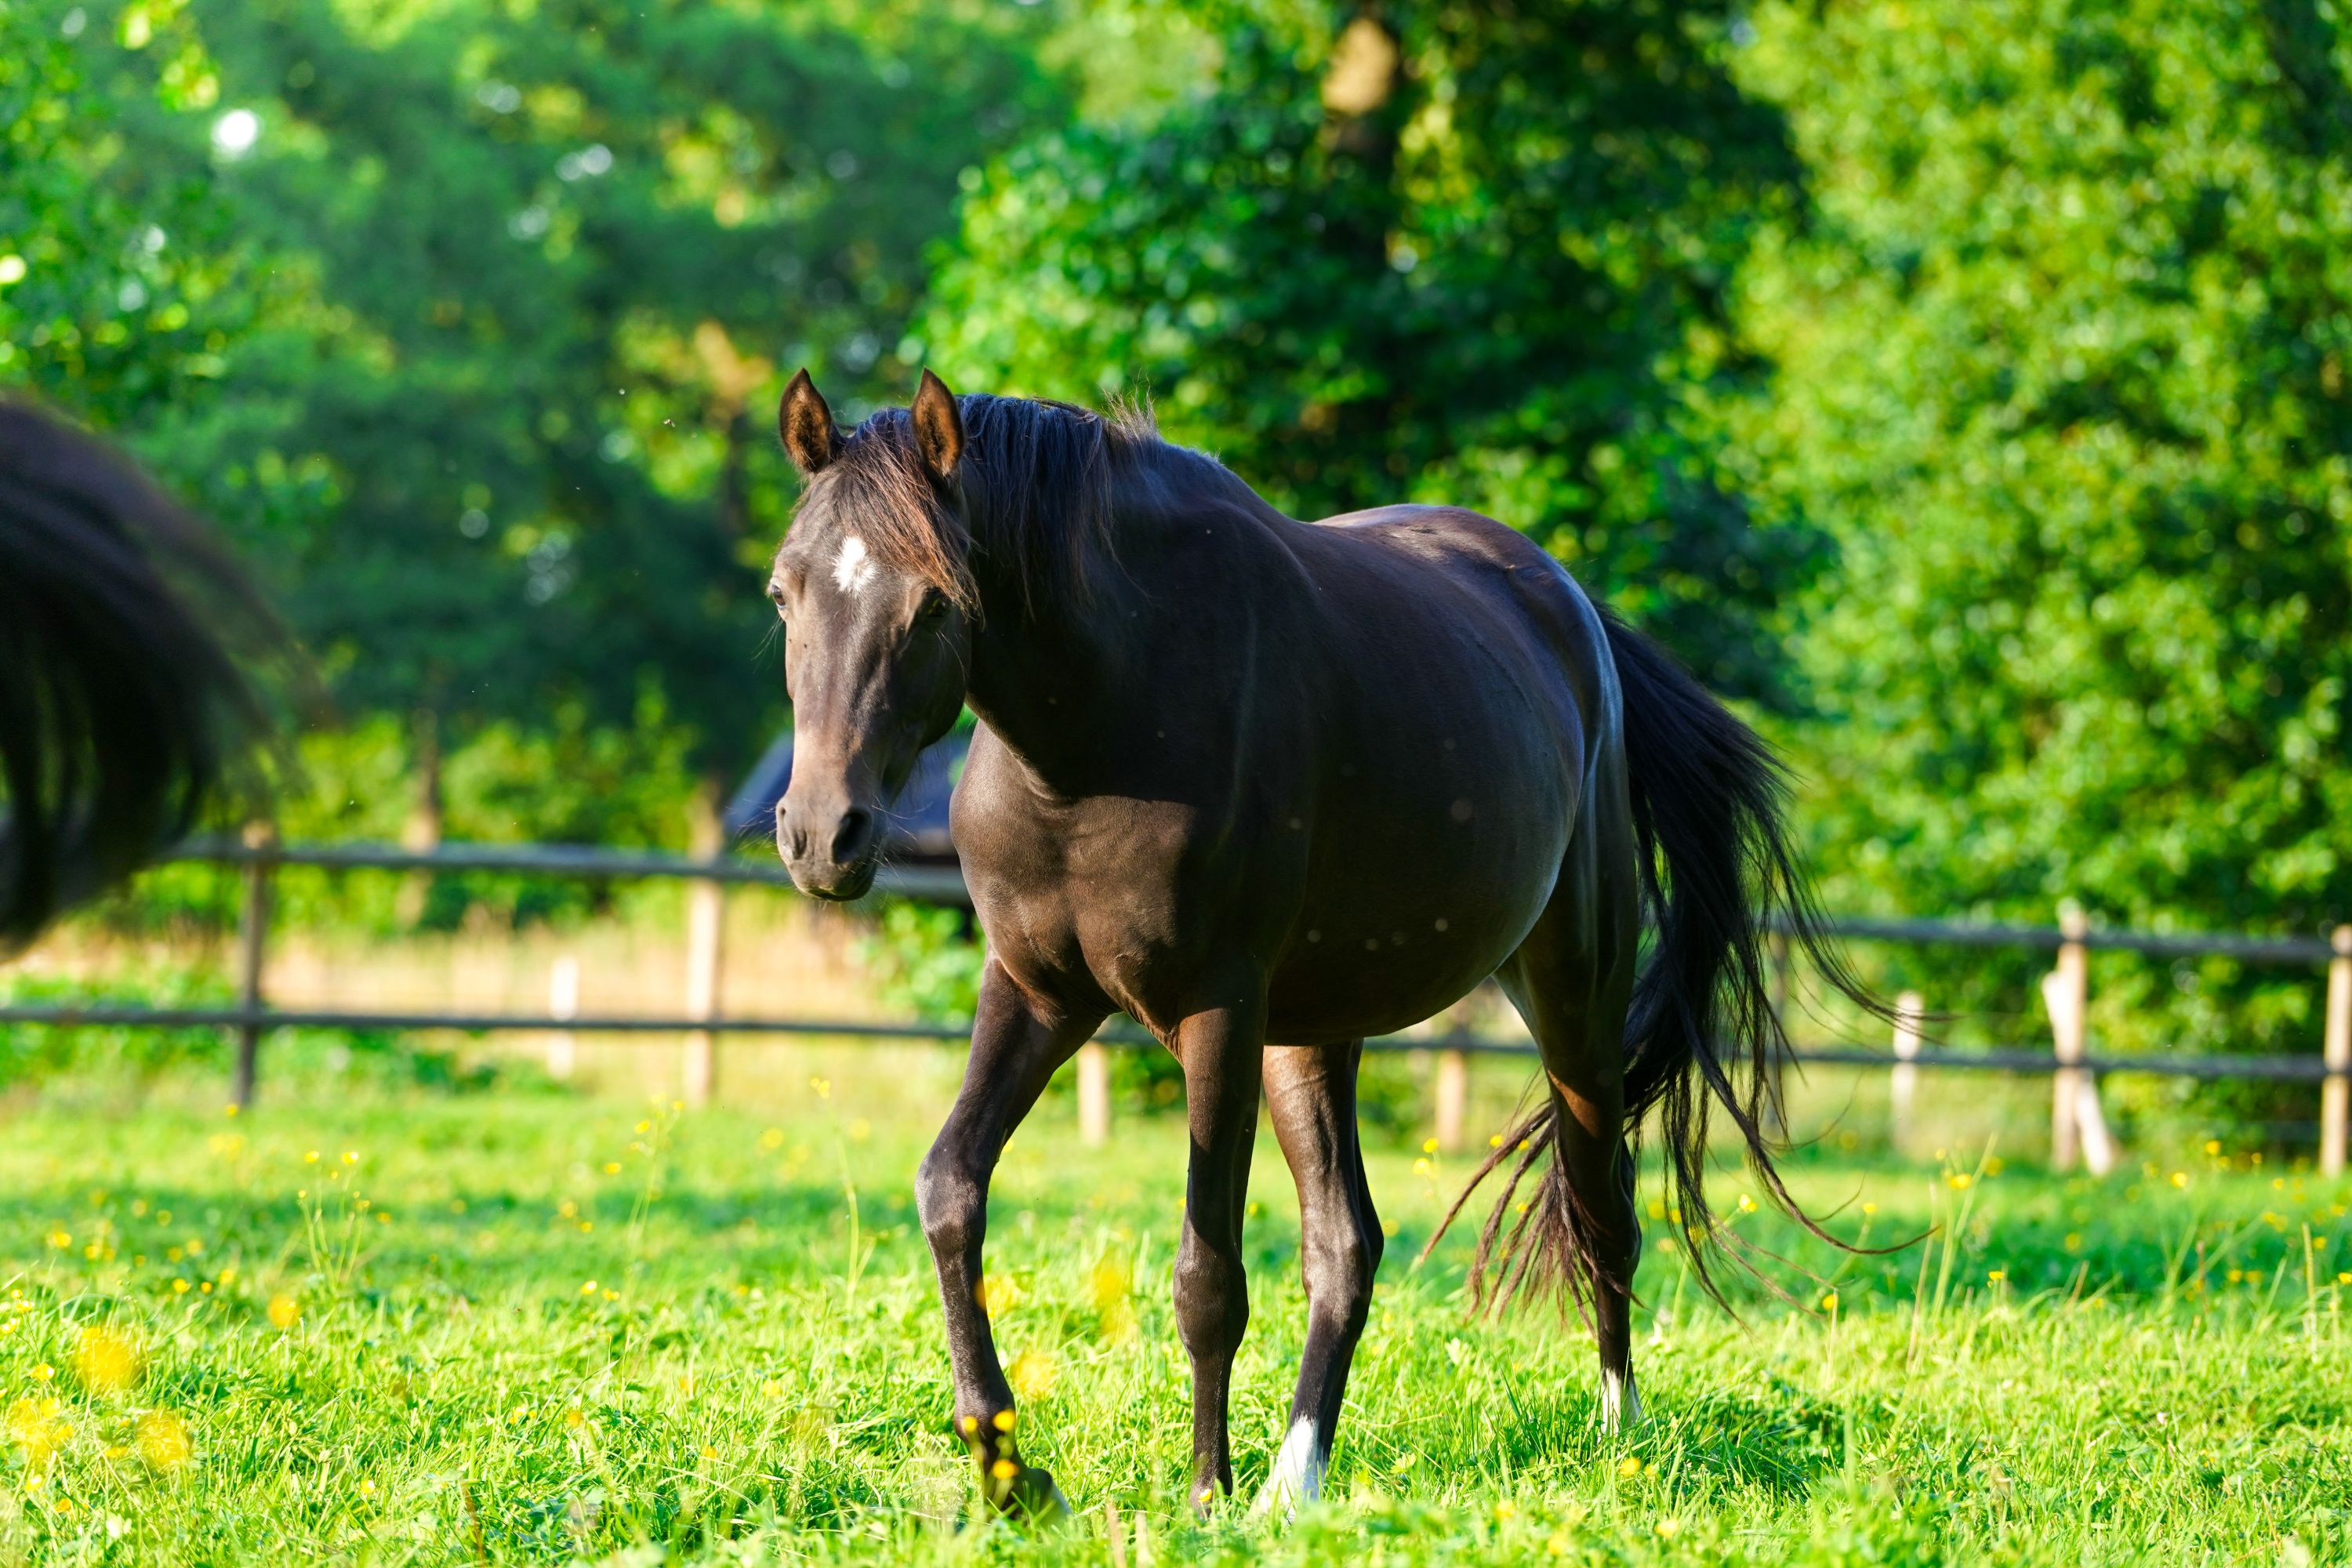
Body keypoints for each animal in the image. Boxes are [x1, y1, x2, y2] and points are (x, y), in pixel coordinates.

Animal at [763, 368, 1865, 1518]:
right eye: (784, 593)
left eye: (934, 601)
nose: (822, 835)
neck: (1106, 726)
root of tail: (1574, 612)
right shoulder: (1035, 993)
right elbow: (951, 1190)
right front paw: (1009, 1468)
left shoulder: (1216, 1013)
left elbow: (1206, 1275)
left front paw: (1202, 1494)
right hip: (1314, 1034)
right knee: (1348, 1245)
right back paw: (1296, 1480)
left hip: (1572, 999)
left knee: (1601, 1206)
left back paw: (1618, 1438)